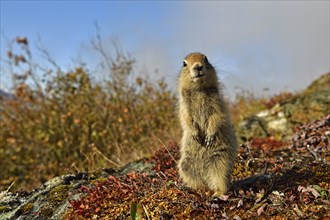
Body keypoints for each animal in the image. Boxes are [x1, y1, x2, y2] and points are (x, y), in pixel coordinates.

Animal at [178, 52, 237, 198]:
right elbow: (186, 118)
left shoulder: (217, 102)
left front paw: (209, 137)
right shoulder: (184, 106)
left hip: (220, 162)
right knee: (201, 184)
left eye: (206, 59)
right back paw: (196, 189)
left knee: (221, 182)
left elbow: (216, 116)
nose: (198, 66)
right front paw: (196, 136)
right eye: (184, 63)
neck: (199, 89)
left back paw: (217, 193)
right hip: (185, 166)